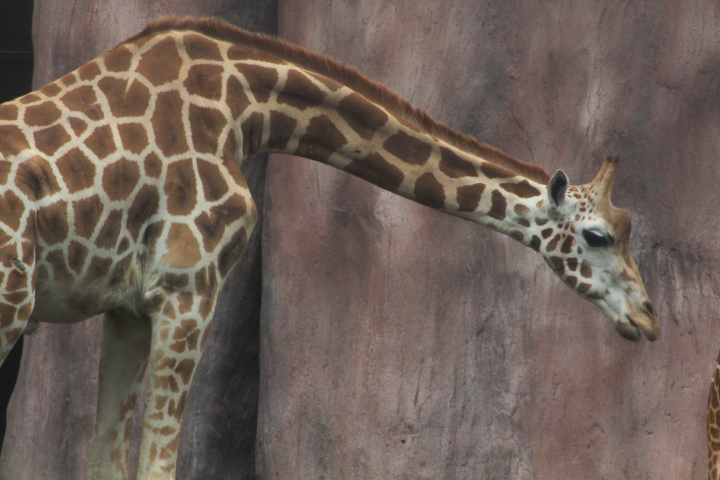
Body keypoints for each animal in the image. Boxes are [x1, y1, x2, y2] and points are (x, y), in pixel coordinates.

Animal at [0, 16, 659, 480]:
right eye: (597, 235)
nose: (649, 318)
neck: (245, 109)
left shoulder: (130, 308)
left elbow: (105, 463)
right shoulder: (188, 291)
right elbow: (158, 466)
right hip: (11, 300)